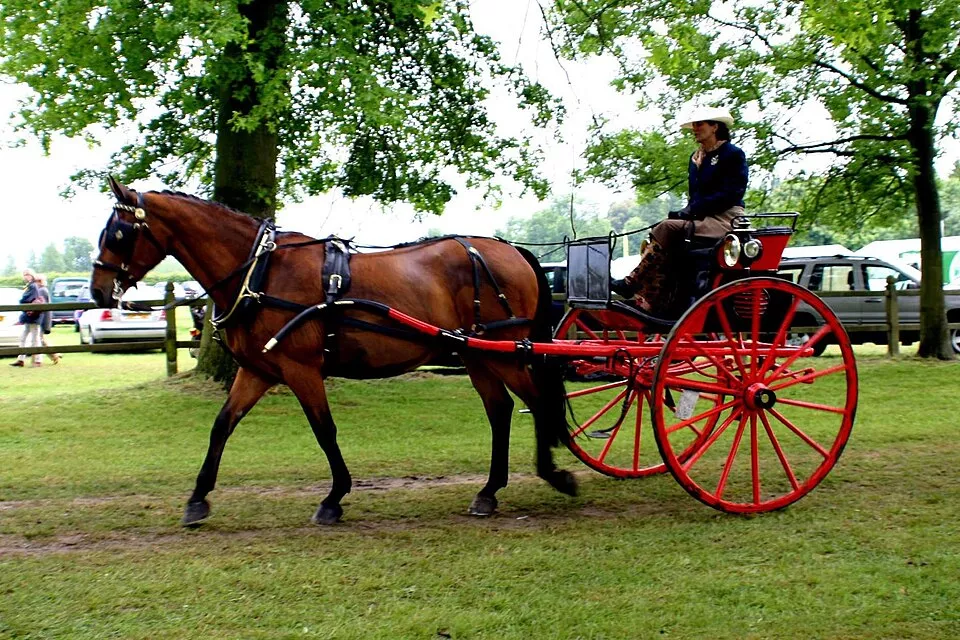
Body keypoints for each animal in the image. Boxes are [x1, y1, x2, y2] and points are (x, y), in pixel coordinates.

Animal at [90, 178, 576, 526]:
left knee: (536, 402)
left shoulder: (300, 368)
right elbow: (221, 426)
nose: (97, 291)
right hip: (478, 354)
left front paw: (334, 497)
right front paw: (197, 498)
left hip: (503, 352)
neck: (261, 272)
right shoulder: (258, 371)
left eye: (118, 234)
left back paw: (555, 473)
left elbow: (325, 431)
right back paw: (490, 491)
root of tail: (509, 250)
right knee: (501, 410)